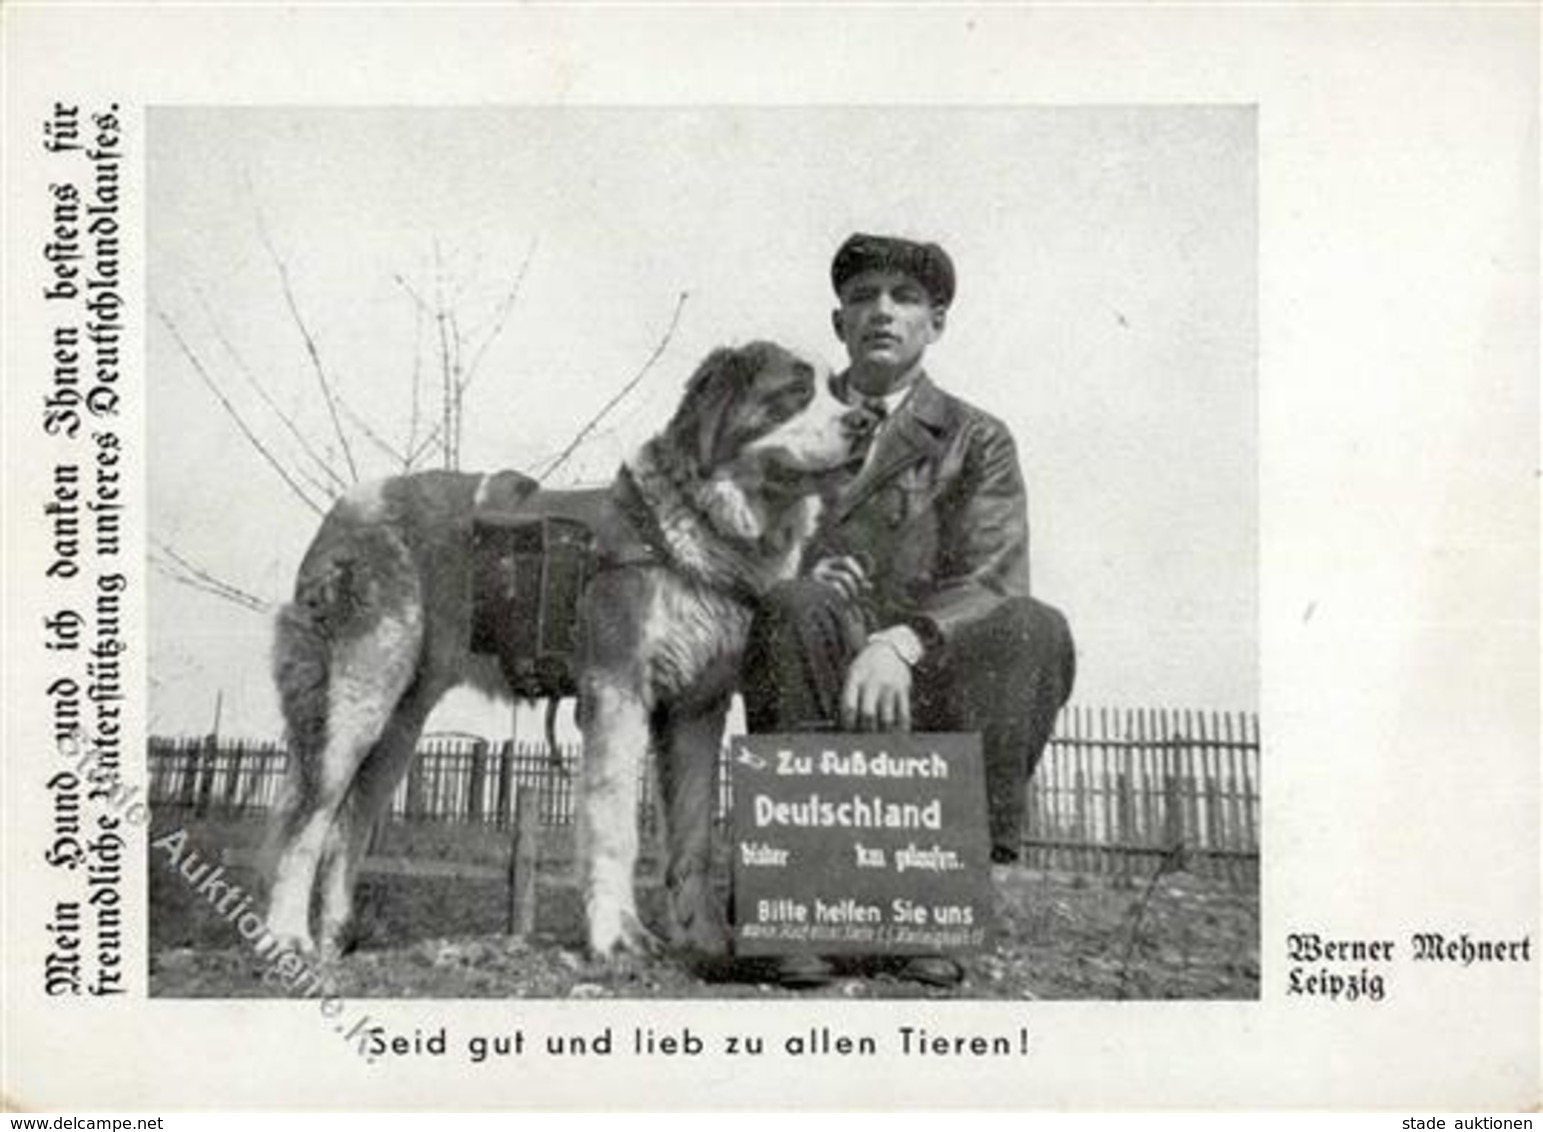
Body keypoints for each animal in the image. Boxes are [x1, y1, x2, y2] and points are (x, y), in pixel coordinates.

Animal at [259, 343, 876, 968]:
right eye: (794, 394)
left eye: (837, 390)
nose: (865, 421)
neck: (691, 530)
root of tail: (346, 510)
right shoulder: (617, 690)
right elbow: (615, 823)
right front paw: (619, 938)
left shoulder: (695, 710)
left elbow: (695, 833)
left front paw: (705, 938)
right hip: (355, 697)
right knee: (308, 813)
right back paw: (287, 936)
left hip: (400, 722)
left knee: (352, 821)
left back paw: (334, 937)